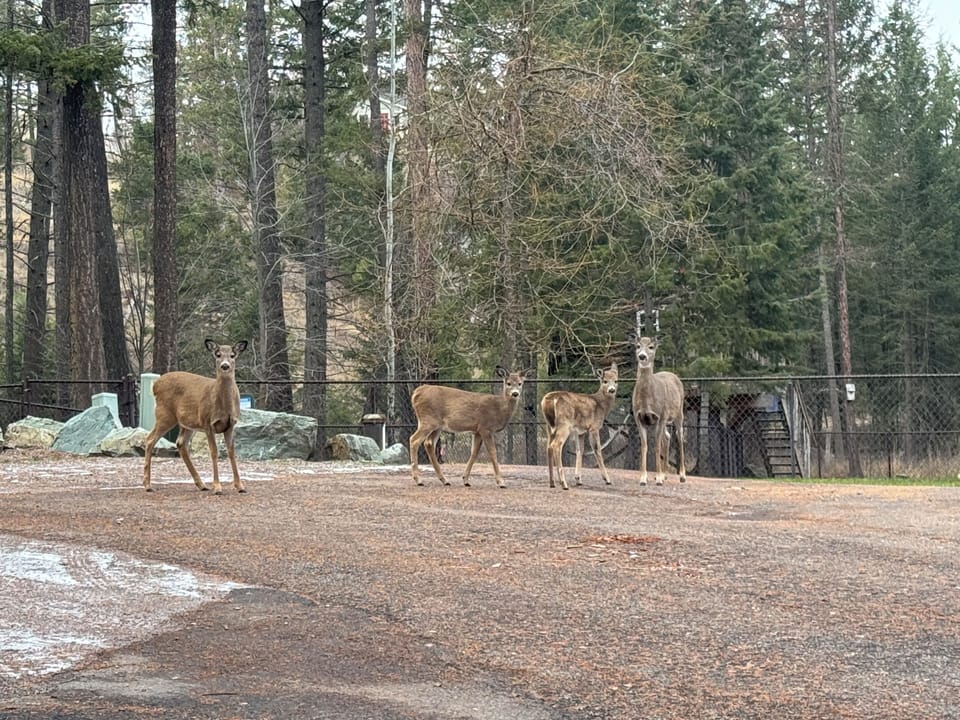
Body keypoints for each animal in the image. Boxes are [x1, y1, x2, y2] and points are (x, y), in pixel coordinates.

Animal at [143, 339, 249, 495]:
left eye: (232, 355)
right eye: (217, 354)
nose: (225, 366)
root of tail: (155, 385)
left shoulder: (230, 424)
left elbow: (231, 452)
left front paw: (240, 486)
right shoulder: (207, 422)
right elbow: (214, 451)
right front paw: (217, 487)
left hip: (187, 423)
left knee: (180, 443)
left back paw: (201, 484)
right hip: (165, 414)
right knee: (150, 440)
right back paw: (147, 484)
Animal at [631, 335, 686, 486]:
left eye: (651, 347)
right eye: (637, 346)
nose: (642, 356)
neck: (647, 401)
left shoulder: (660, 416)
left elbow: (656, 446)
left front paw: (659, 479)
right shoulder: (638, 417)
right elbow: (644, 446)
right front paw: (643, 478)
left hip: (678, 413)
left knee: (680, 437)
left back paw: (682, 476)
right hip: (666, 420)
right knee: (667, 437)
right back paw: (665, 474)